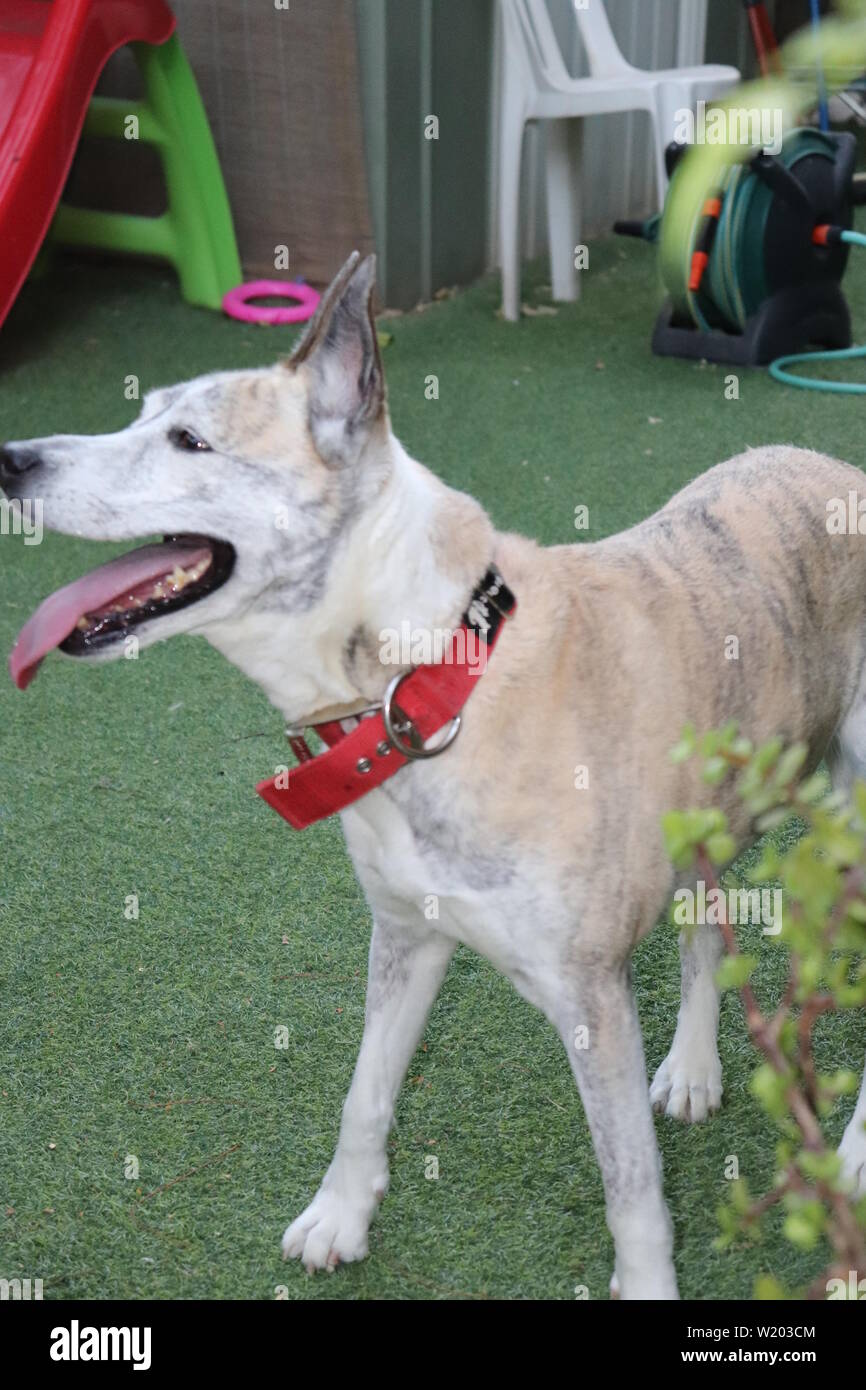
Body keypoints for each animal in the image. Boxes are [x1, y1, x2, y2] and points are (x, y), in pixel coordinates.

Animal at [1, 252, 866, 1301]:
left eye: (188, 439)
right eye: (143, 413)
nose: (12, 460)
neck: (430, 679)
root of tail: (839, 471)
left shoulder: (590, 998)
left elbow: (631, 1190)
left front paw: (647, 1281)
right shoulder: (405, 934)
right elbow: (364, 1092)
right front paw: (339, 1214)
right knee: (705, 916)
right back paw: (696, 1067)